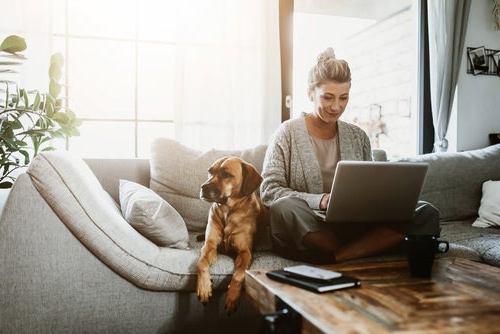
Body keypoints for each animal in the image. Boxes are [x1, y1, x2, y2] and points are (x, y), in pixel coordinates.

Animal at [195, 156, 268, 314]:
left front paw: (232, 297)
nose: (203, 187)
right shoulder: (209, 246)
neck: (227, 211)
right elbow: (201, 263)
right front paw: (204, 287)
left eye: (226, 174)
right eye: (210, 172)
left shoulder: (245, 253)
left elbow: (239, 274)